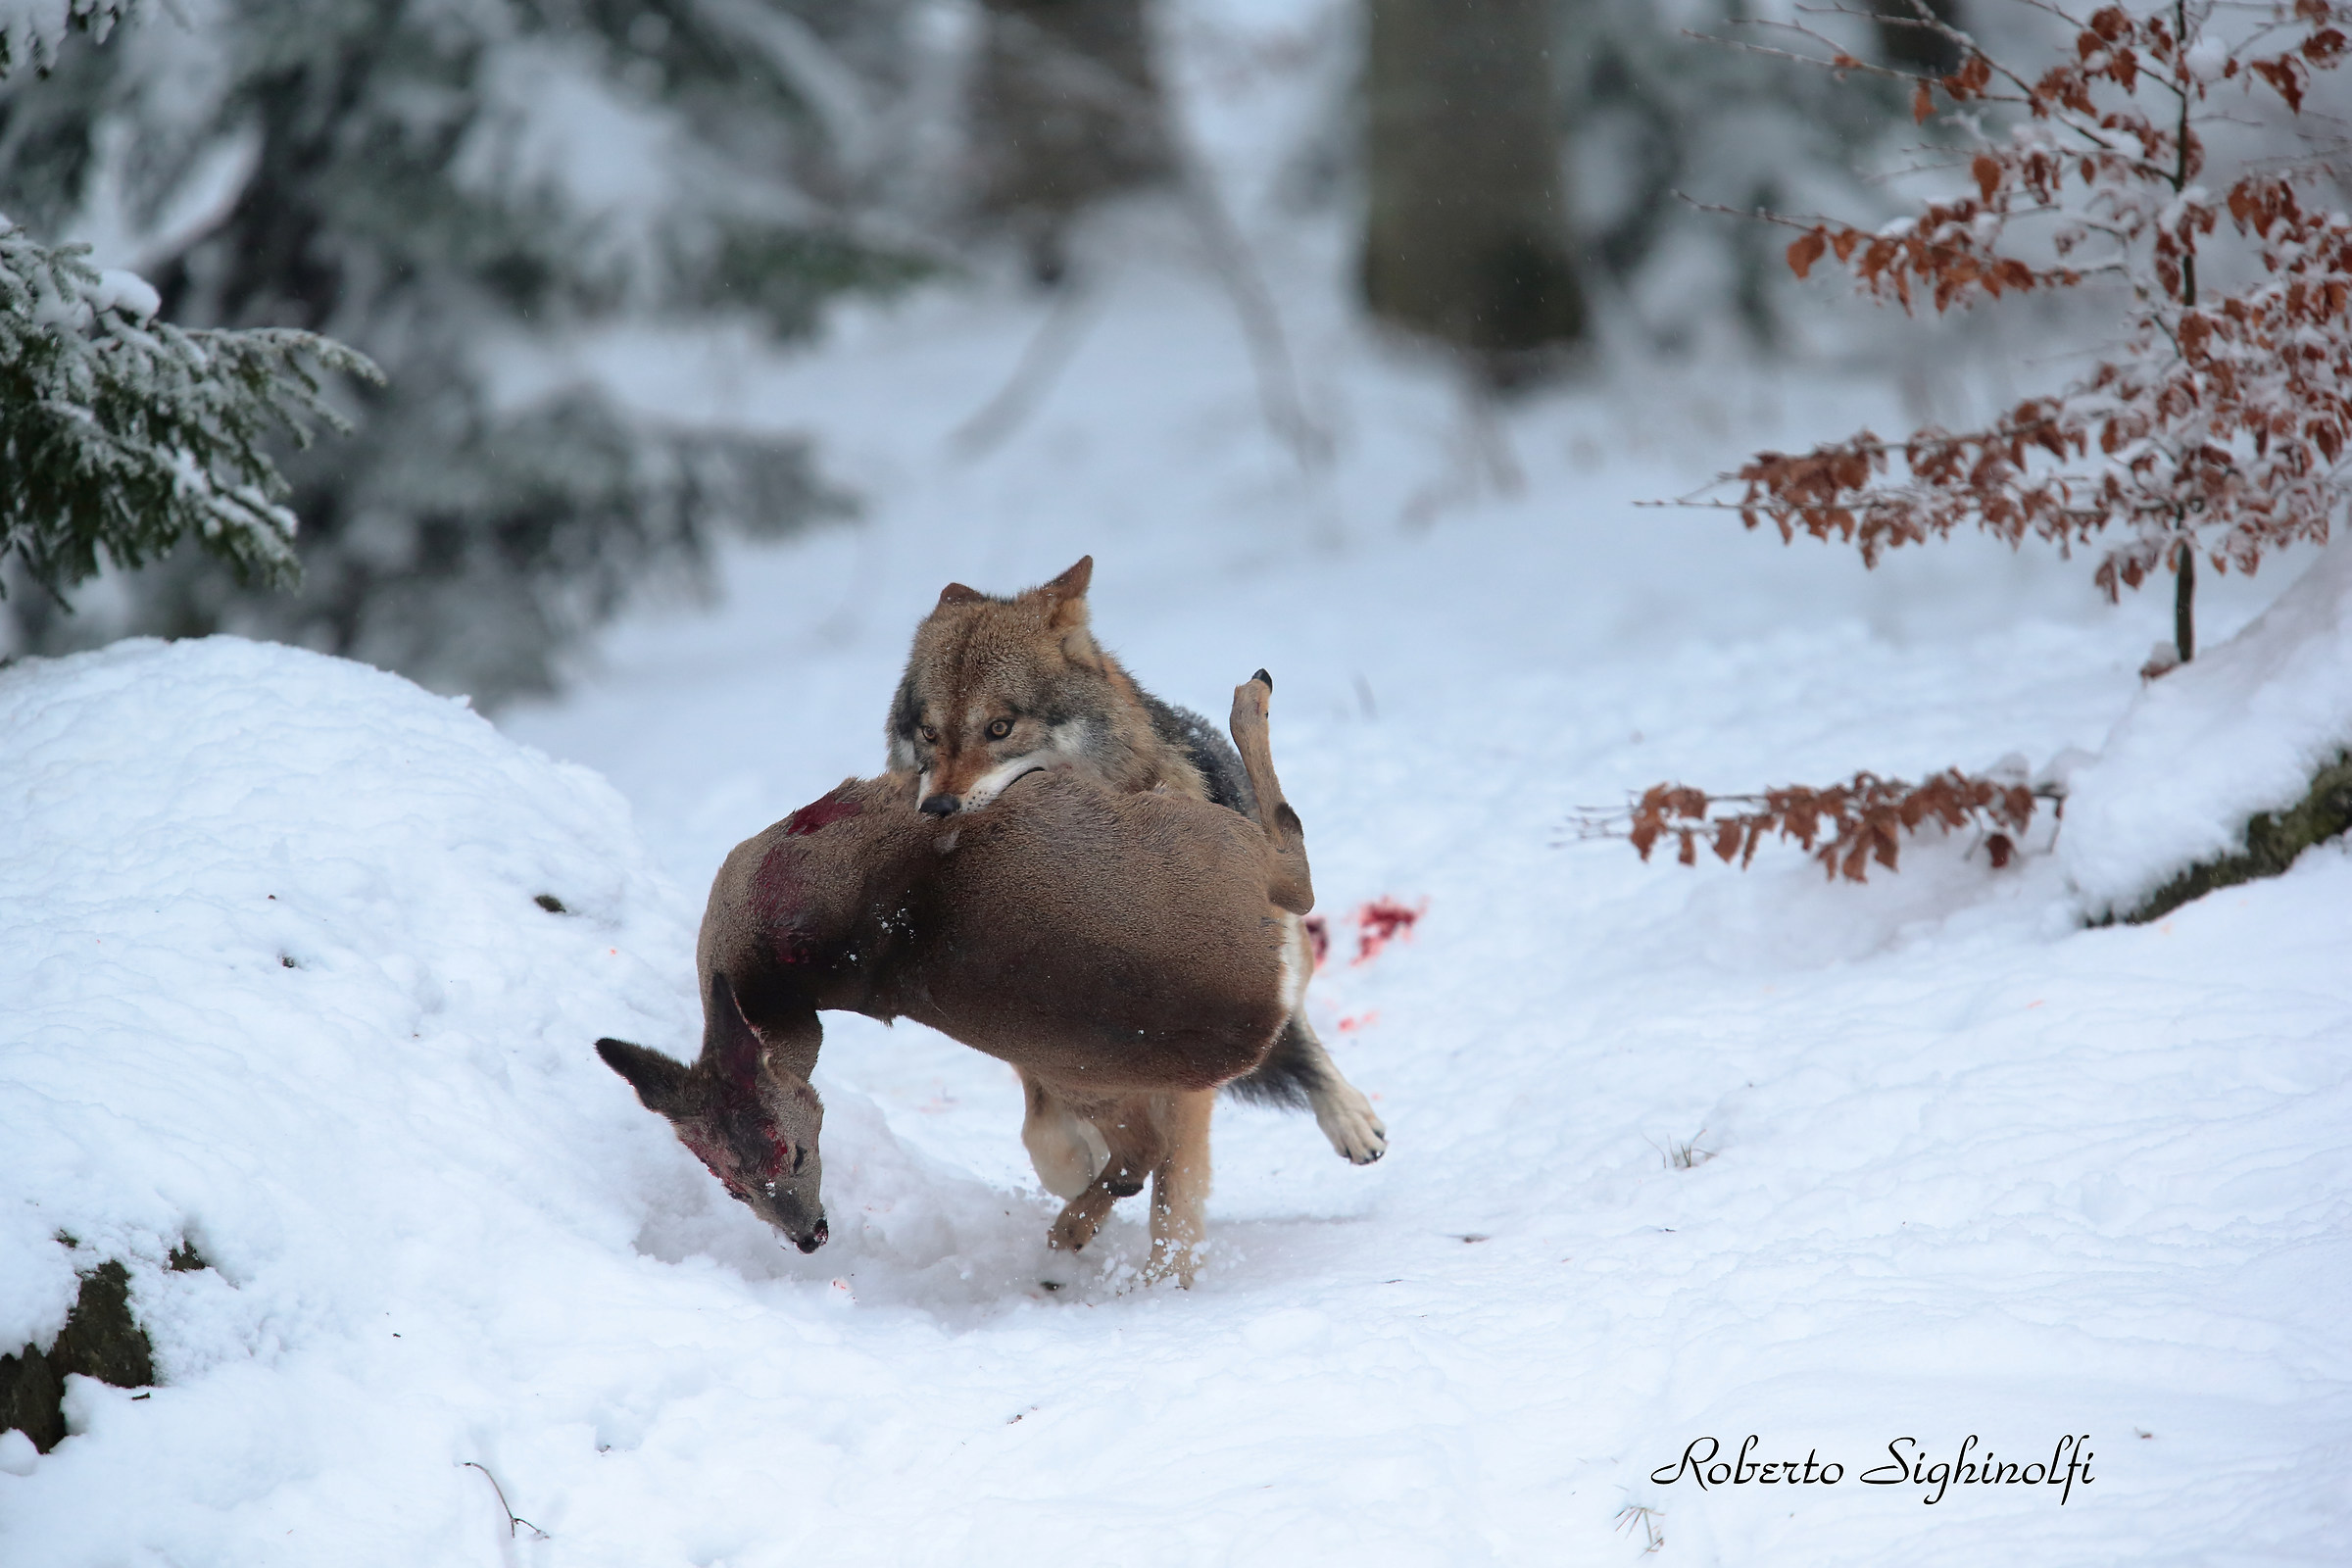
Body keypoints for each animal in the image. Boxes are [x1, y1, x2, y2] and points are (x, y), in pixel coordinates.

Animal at [598, 674, 1317, 1284]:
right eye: (731, 1185)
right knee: (1292, 860)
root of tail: (1261, 1010)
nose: (808, 1237)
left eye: (795, 1154)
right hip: (1208, 849)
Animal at [882, 555, 1386, 1198]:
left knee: (1295, 1022)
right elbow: (1046, 1130)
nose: (937, 808)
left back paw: (1348, 1116)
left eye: (999, 728)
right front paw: (1082, 1163)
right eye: (928, 732)